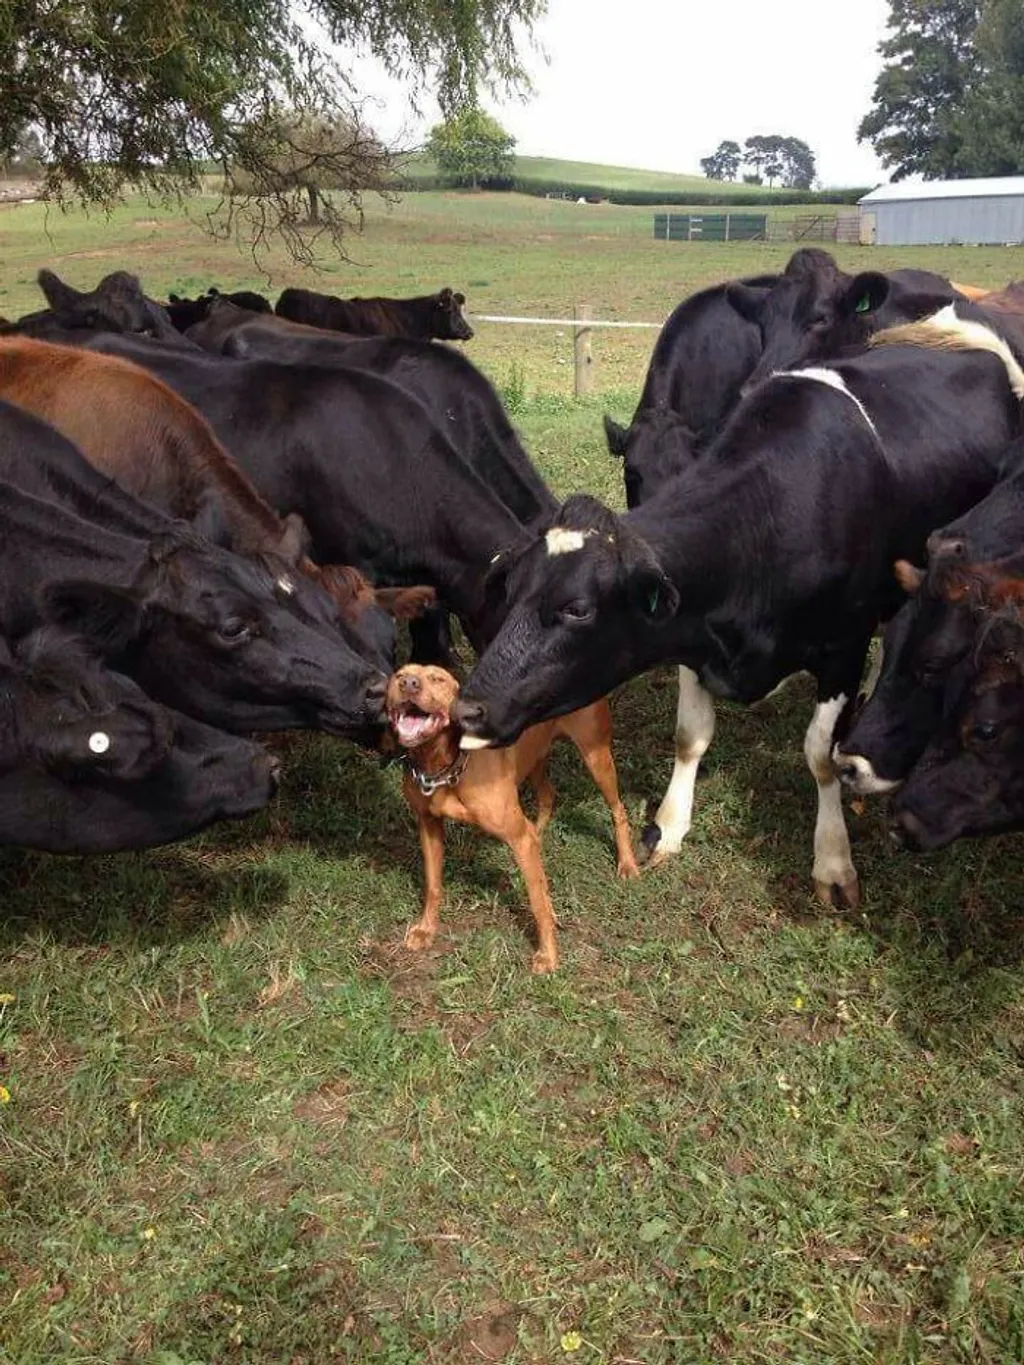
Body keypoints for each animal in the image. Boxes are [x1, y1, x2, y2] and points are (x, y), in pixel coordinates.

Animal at [387, 663, 641, 971]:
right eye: (399, 675)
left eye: (438, 679)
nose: (408, 684)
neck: (445, 766)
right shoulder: (429, 824)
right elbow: (433, 885)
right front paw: (426, 930)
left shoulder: (517, 835)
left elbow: (537, 903)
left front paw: (548, 955)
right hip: (535, 758)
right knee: (548, 798)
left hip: (596, 756)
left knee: (618, 810)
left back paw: (627, 864)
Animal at [456, 323, 1024, 906]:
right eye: (513, 589)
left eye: (576, 609)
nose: (467, 710)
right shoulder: (693, 639)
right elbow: (690, 734)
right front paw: (669, 826)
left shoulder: (843, 646)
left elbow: (823, 755)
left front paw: (833, 859)